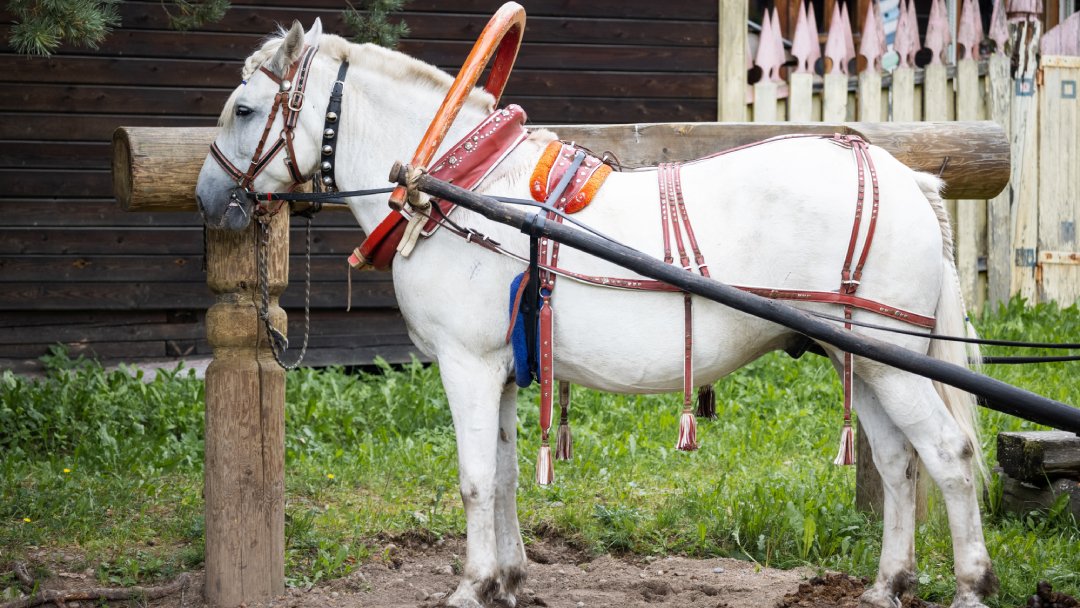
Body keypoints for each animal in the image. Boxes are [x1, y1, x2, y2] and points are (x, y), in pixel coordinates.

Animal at [195, 20, 996, 608]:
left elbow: (475, 478)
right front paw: (509, 580)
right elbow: (506, 475)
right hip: (863, 358)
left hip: (889, 358)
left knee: (949, 456)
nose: (207, 197)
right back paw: (888, 584)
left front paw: (471, 585)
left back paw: (970, 585)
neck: (461, 185)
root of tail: (907, 177)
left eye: (243, 110)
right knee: (898, 461)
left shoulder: (466, 365)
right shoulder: (504, 372)